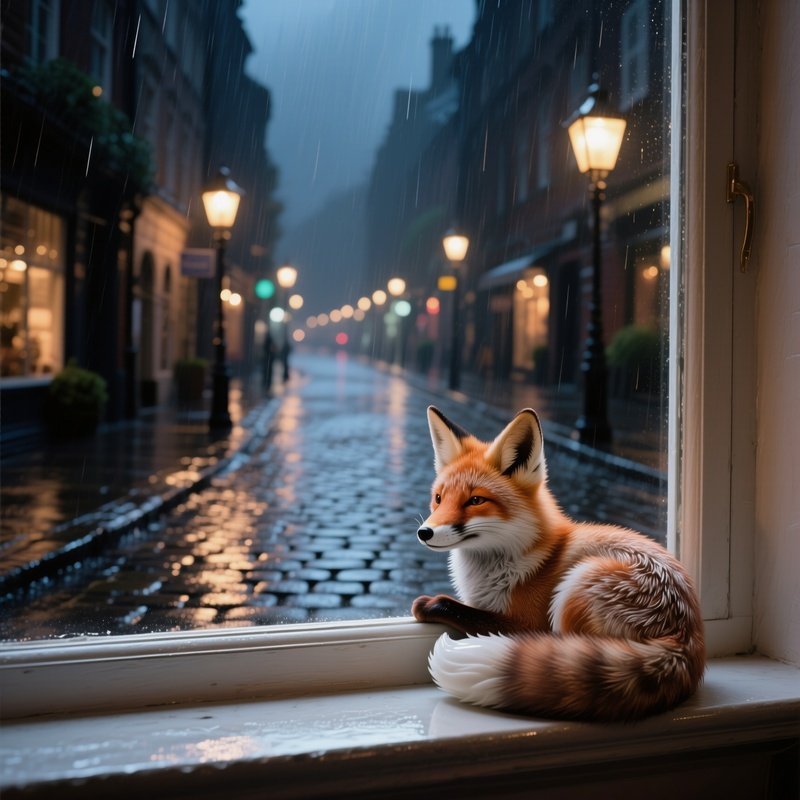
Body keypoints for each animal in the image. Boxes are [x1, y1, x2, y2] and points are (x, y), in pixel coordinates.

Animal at [412, 405, 705, 721]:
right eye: (438, 499)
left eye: (476, 500)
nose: (424, 532)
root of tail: (687, 638)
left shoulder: (527, 624)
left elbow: (467, 612)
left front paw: (430, 604)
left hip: (576, 588)